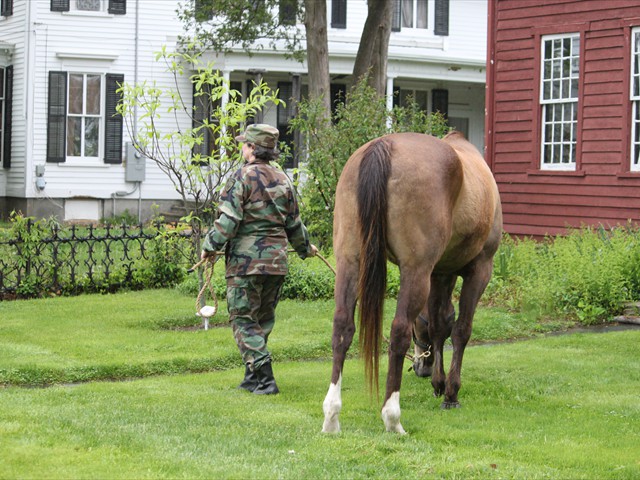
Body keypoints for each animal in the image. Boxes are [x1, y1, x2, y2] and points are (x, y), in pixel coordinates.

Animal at [321, 130, 503, 434]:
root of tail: (384, 146)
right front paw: (451, 392)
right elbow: (461, 330)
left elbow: (441, 325)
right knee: (398, 331)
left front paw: (439, 383)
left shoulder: (439, 272)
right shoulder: (478, 270)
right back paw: (392, 418)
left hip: (349, 261)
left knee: (342, 328)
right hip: (415, 271)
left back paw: (332, 416)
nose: (421, 369)